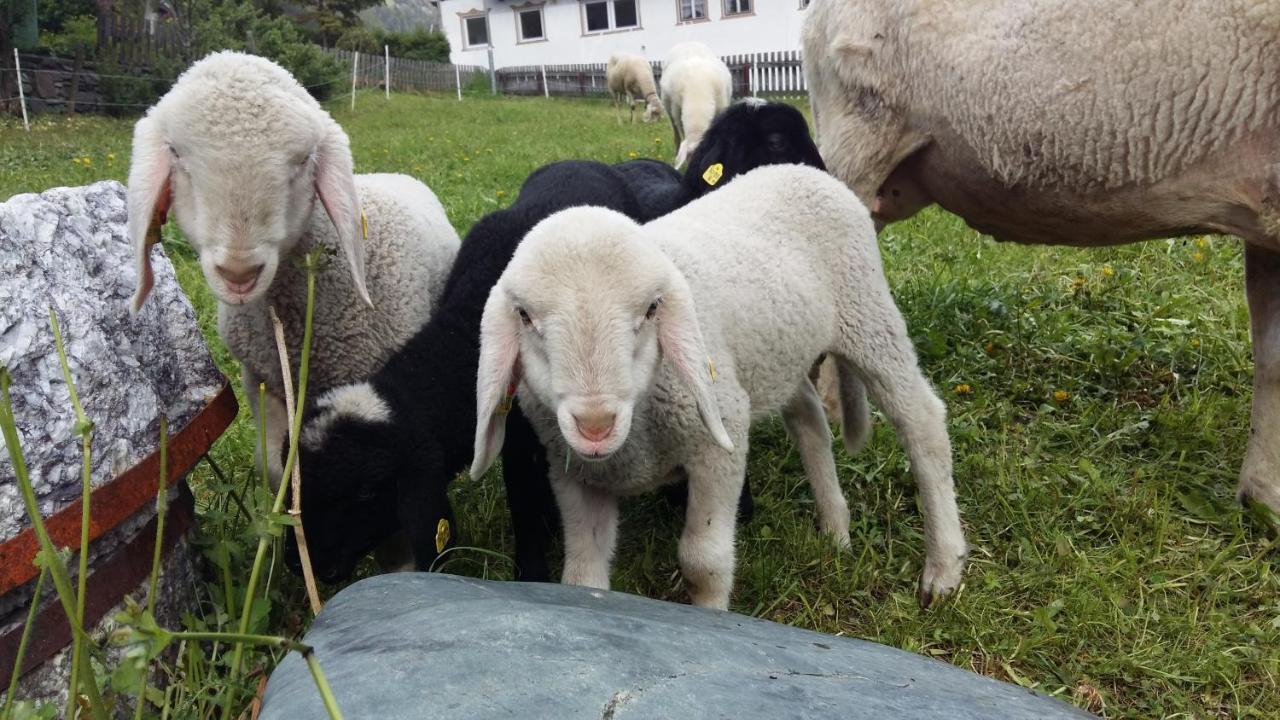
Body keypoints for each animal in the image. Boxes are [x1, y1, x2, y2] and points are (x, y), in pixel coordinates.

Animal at [476, 162, 962, 604]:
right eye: (524, 316)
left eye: (652, 309)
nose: (595, 425)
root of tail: (805, 171)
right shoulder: (575, 475)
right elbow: (581, 574)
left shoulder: (717, 444)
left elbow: (703, 562)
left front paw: (711, 615)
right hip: (775, 353)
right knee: (810, 419)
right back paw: (835, 528)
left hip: (868, 317)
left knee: (922, 421)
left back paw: (943, 569)